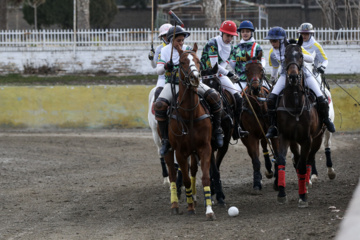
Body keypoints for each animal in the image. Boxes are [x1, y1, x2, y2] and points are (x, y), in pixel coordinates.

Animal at [164, 43, 217, 219]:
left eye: (198, 60)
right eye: (181, 62)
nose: (195, 78)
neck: (190, 114)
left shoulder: (205, 148)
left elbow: (205, 177)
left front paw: (209, 210)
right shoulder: (180, 152)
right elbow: (185, 179)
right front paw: (189, 207)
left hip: (194, 152)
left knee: (193, 170)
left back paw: (193, 197)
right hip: (167, 148)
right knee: (173, 174)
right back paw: (175, 204)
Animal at [240, 52, 280, 193]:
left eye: (261, 70)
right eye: (246, 70)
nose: (256, 88)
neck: (259, 107)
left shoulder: (274, 133)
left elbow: (278, 154)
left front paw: (277, 181)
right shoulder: (251, 135)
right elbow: (256, 160)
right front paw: (257, 182)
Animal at [274, 38, 324, 207]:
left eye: (301, 55)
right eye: (285, 56)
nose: (294, 77)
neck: (295, 104)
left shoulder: (308, 139)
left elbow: (303, 165)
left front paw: (302, 196)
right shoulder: (284, 136)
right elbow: (282, 160)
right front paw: (281, 193)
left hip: (317, 139)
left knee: (308, 159)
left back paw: (306, 184)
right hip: (294, 141)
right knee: (297, 159)